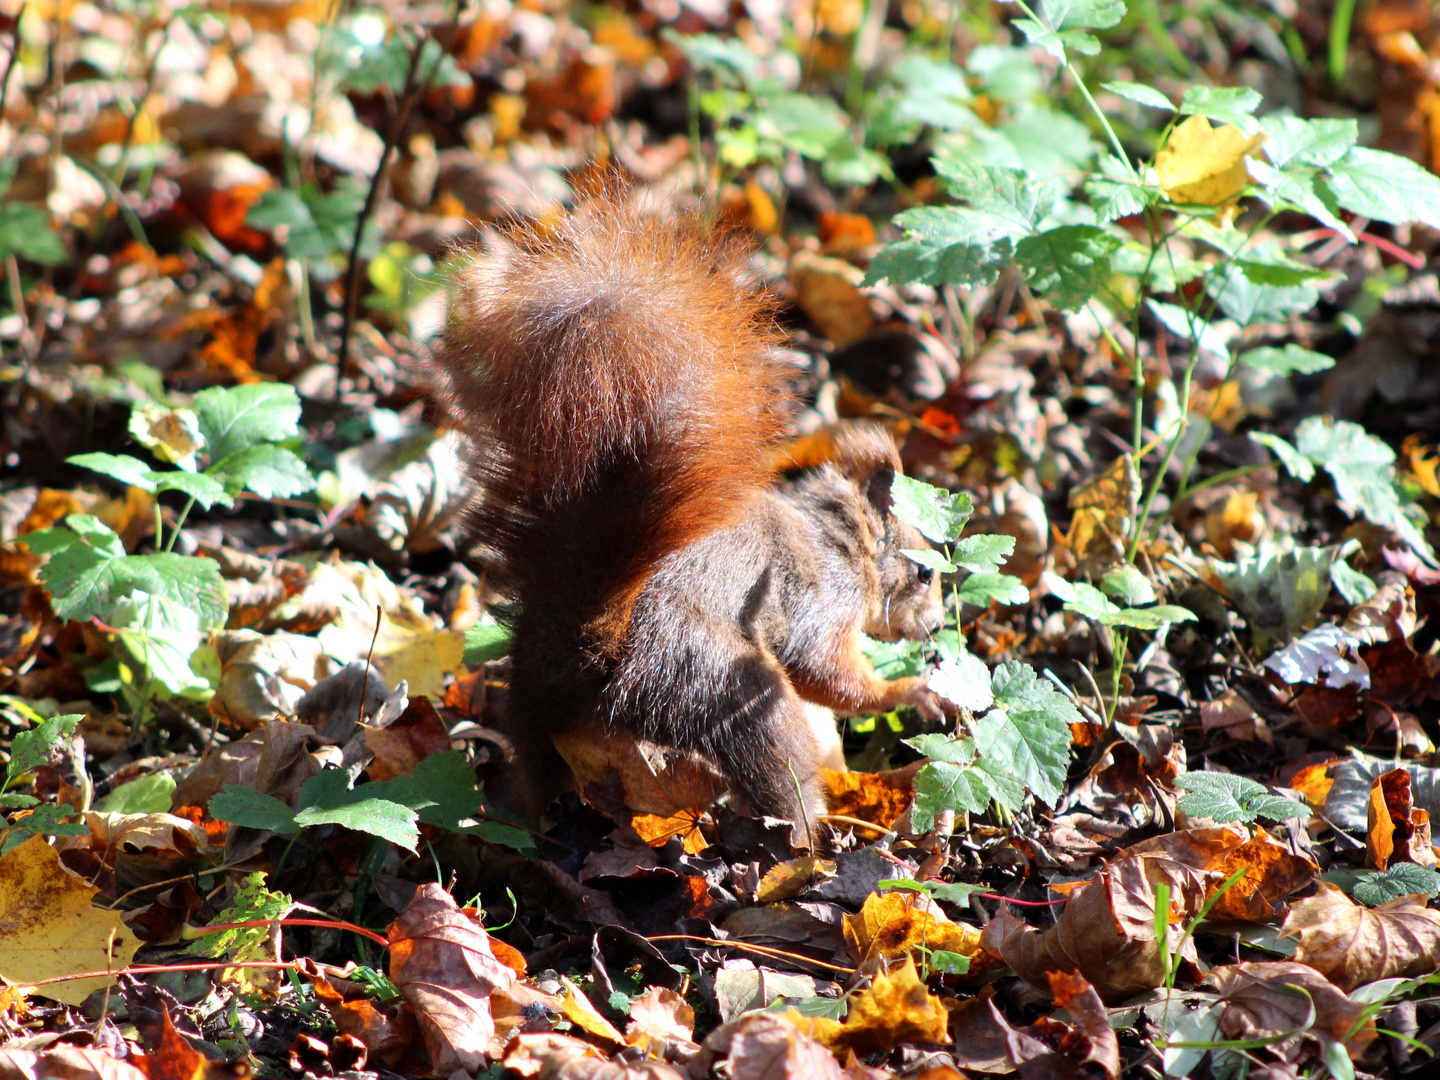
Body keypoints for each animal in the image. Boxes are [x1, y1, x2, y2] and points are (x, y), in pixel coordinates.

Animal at [432, 203, 950, 840]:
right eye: (925, 572)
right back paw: (815, 843)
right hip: (725, 684)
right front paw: (910, 691)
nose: (938, 626)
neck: (842, 538)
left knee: (535, 779)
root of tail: (591, 657)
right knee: (782, 771)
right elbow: (825, 675)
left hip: (533, 715)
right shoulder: (823, 604)